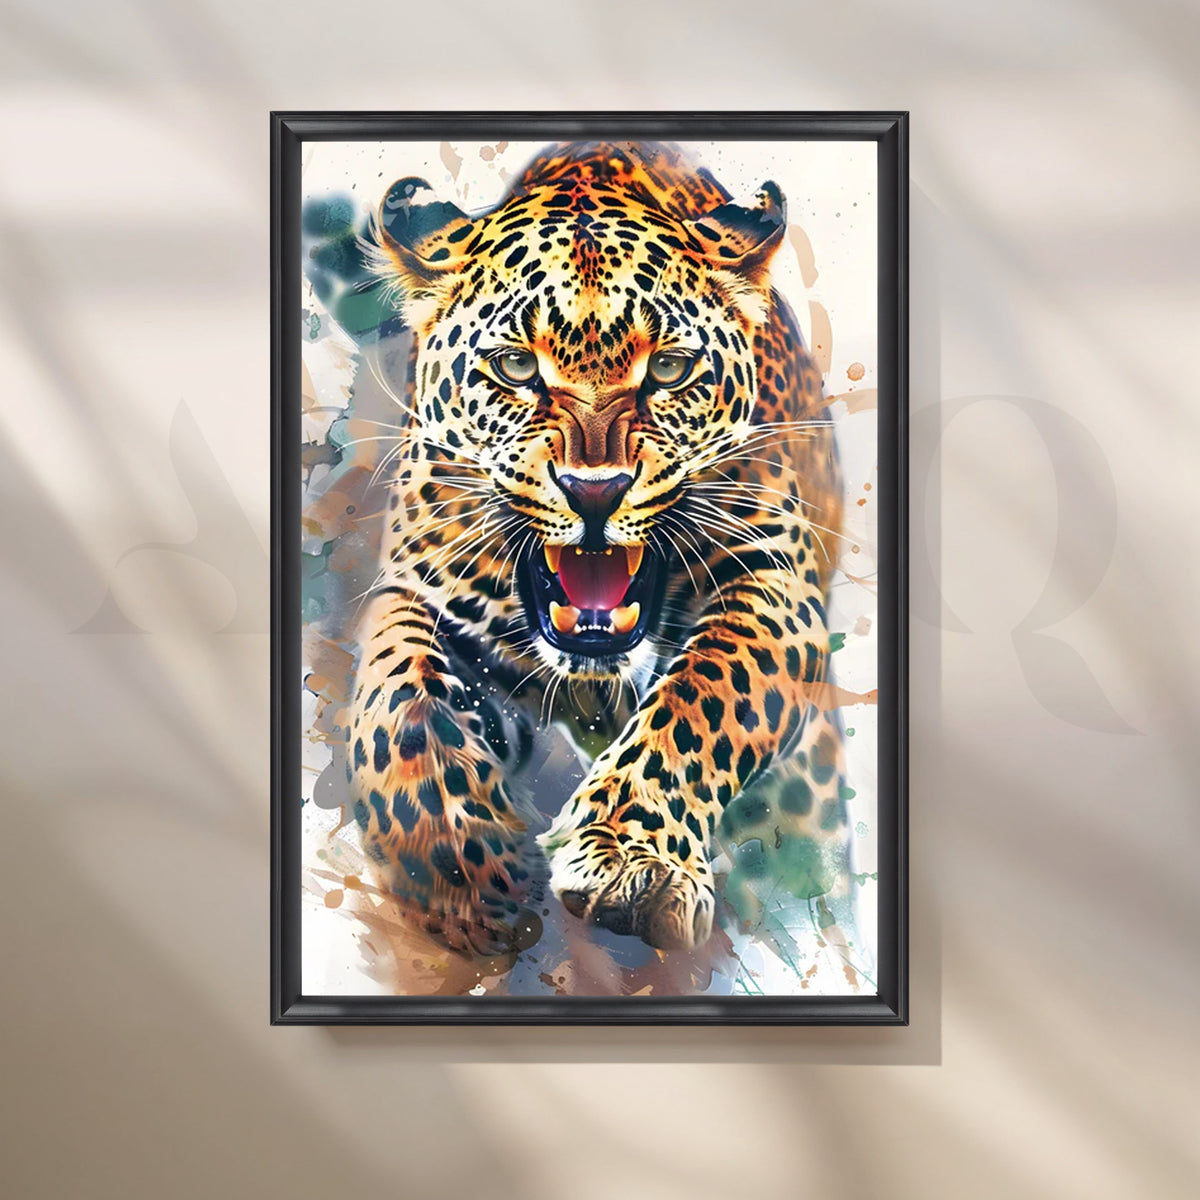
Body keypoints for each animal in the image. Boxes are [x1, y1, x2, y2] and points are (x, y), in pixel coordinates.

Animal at [337, 141, 852, 960]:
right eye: (517, 368)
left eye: (668, 369)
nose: (594, 491)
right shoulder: (419, 586)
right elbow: (397, 702)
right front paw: (463, 873)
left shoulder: (776, 583)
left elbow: (704, 693)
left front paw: (630, 861)